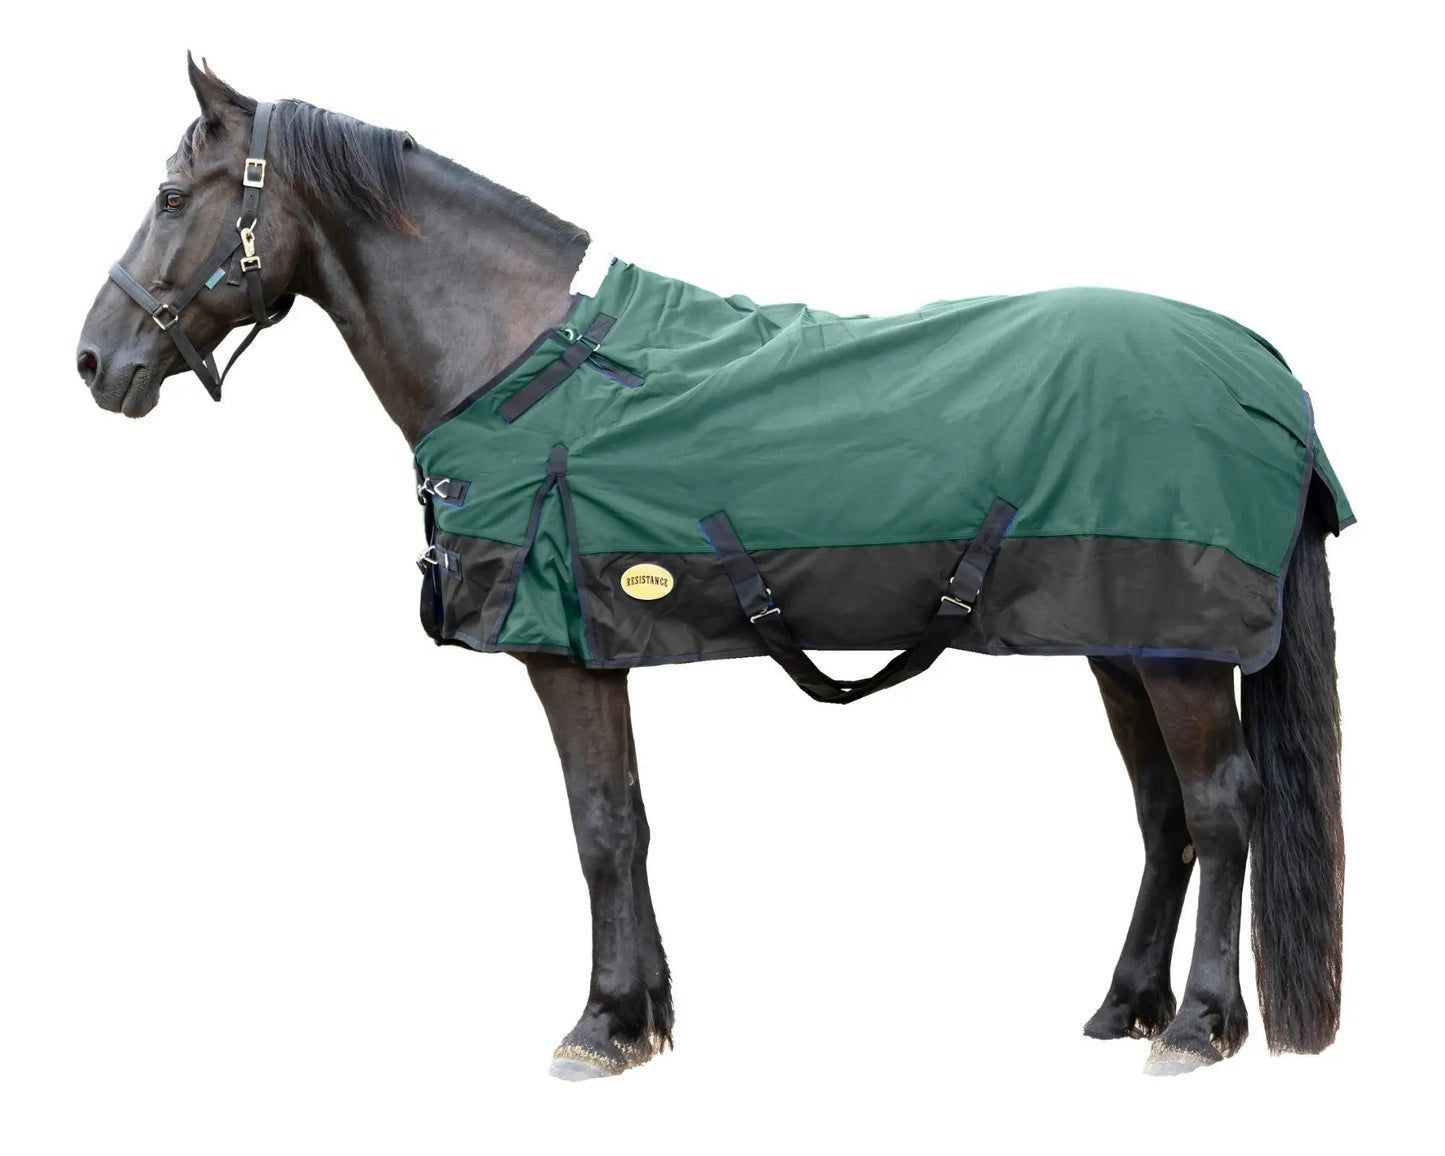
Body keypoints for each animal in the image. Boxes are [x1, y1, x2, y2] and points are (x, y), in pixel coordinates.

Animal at [75, 57, 1346, 1079]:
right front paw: (642, 1017)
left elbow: (596, 826)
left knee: (1219, 807)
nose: (94, 358)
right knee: (1160, 811)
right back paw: (1124, 1005)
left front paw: (596, 1027)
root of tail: (1259, 365)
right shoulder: (599, 648)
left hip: (1179, 652)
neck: (515, 359)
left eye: (171, 197)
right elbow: (631, 821)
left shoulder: (560, 653)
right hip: (1122, 640)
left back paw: (1197, 1026)